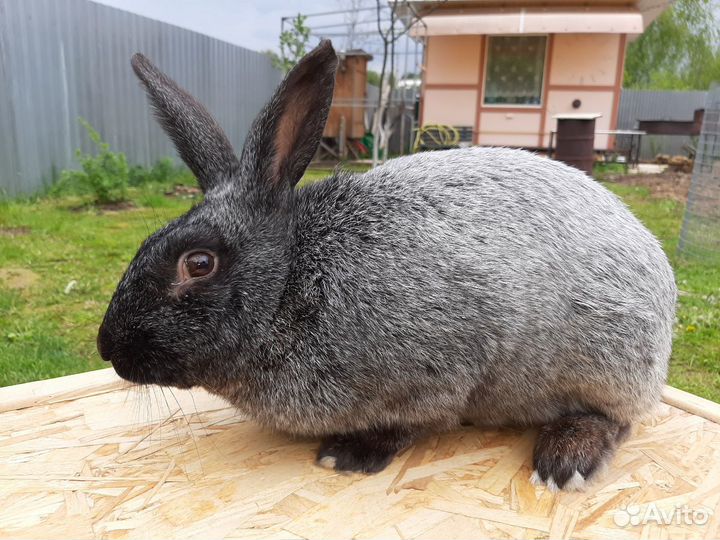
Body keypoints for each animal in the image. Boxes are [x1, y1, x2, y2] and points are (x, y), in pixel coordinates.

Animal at [97, 40, 677, 491]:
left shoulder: (437, 375)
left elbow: (408, 423)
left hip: (609, 361)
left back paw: (565, 460)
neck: (291, 281)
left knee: (617, 419)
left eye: (199, 263)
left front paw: (347, 455)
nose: (110, 350)